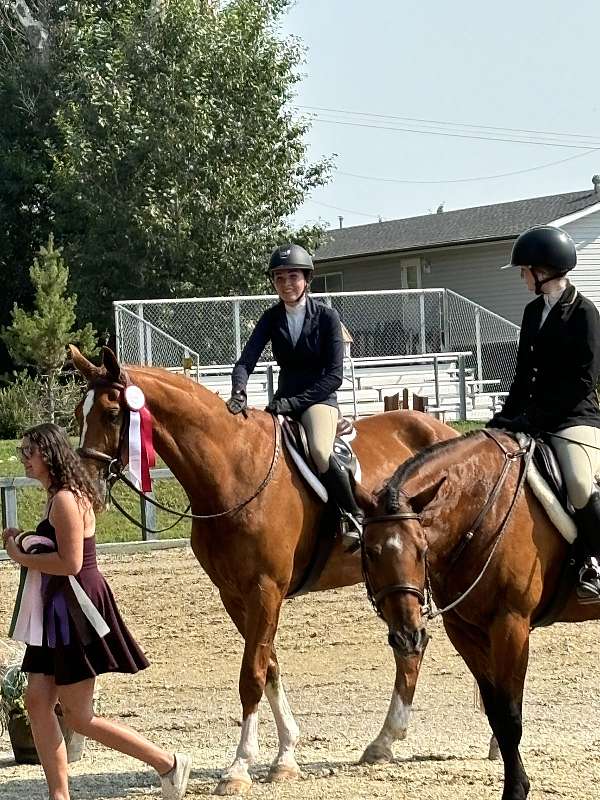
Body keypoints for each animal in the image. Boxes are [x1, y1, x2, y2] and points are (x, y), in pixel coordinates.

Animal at [69, 346, 454, 796]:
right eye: (78, 413)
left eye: (113, 414)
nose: (87, 486)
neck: (233, 471)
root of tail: (441, 429)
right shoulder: (234, 595)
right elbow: (269, 666)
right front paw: (285, 757)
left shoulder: (266, 589)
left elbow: (251, 674)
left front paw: (239, 768)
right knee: (411, 644)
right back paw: (385, 742)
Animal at [358, 432, 600, 800]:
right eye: (370, 553)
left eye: (422, 550)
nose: (408, 636)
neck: (483, 509)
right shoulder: (465, 631)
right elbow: (495, 714)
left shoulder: (511, 625)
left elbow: (510, 716)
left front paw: (515, 790)